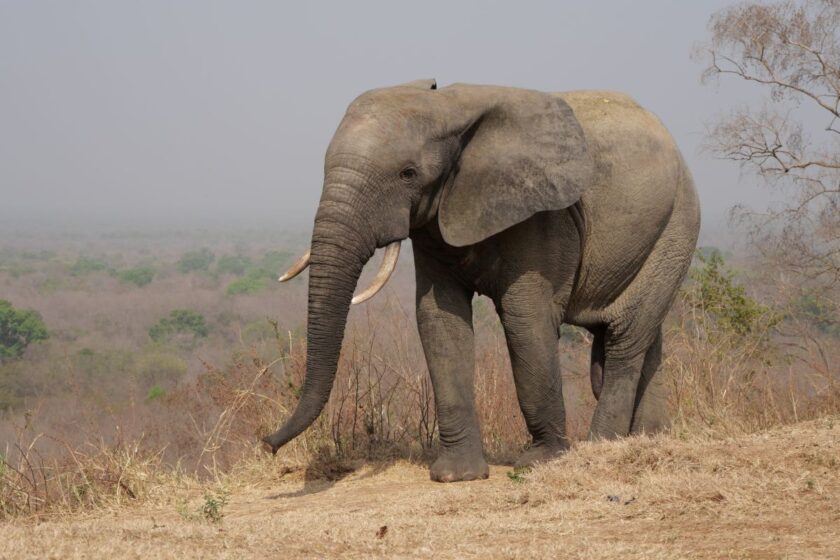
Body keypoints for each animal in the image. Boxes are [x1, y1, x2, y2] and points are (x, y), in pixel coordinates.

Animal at [263, 79, 701, 482]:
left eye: (408, 174)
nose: (267, 444)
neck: (448, 108)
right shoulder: (434, 222)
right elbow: (439, 319)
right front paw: (457, 475)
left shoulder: (541, 215)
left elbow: (526, 320)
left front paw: (542, 461)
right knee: (644, 339)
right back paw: (650, 438)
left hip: (677, 225)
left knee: (625, 339)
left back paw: (602, 446)